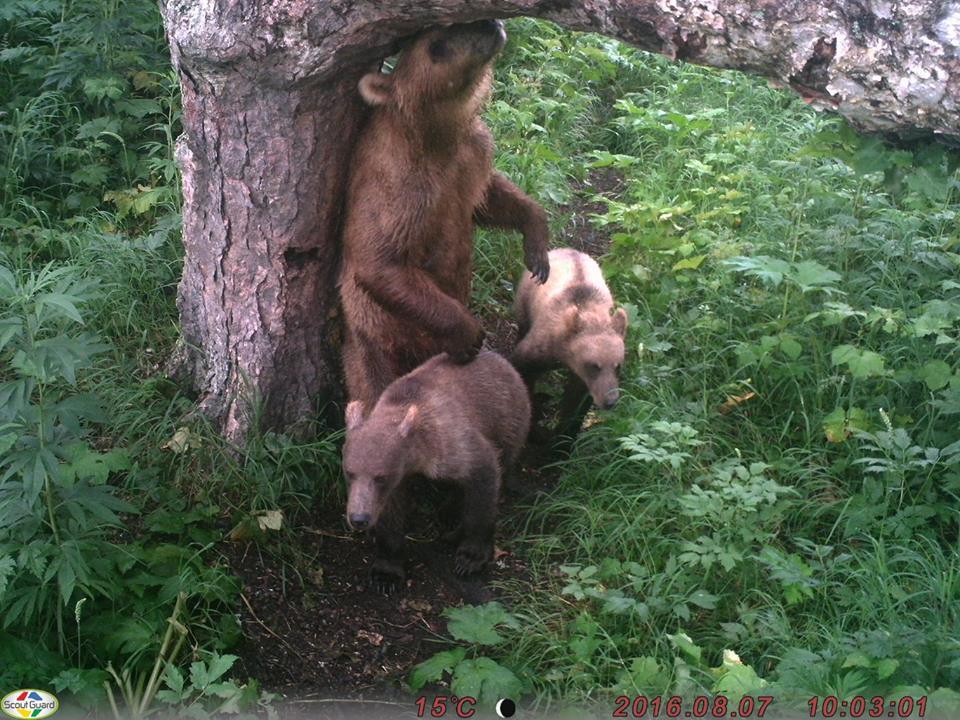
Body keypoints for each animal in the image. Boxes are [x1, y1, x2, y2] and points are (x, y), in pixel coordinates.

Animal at [340, 21, 548, 410]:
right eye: (436, 45)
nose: (490, 24)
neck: (438, 137)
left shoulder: (471, 159)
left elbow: (491, 198)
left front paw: (538, 249)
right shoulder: (398, 190)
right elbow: (378, 259)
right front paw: (469, 333)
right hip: (373, 338)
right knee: (370, 381)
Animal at [342, 352, 528, 592]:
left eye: (381, 477)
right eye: (349, 472)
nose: (359, 518)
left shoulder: (451, 445)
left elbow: (483, 482)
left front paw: (470, 558)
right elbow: (390, 511)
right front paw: (386, 572)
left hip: (509, 421)